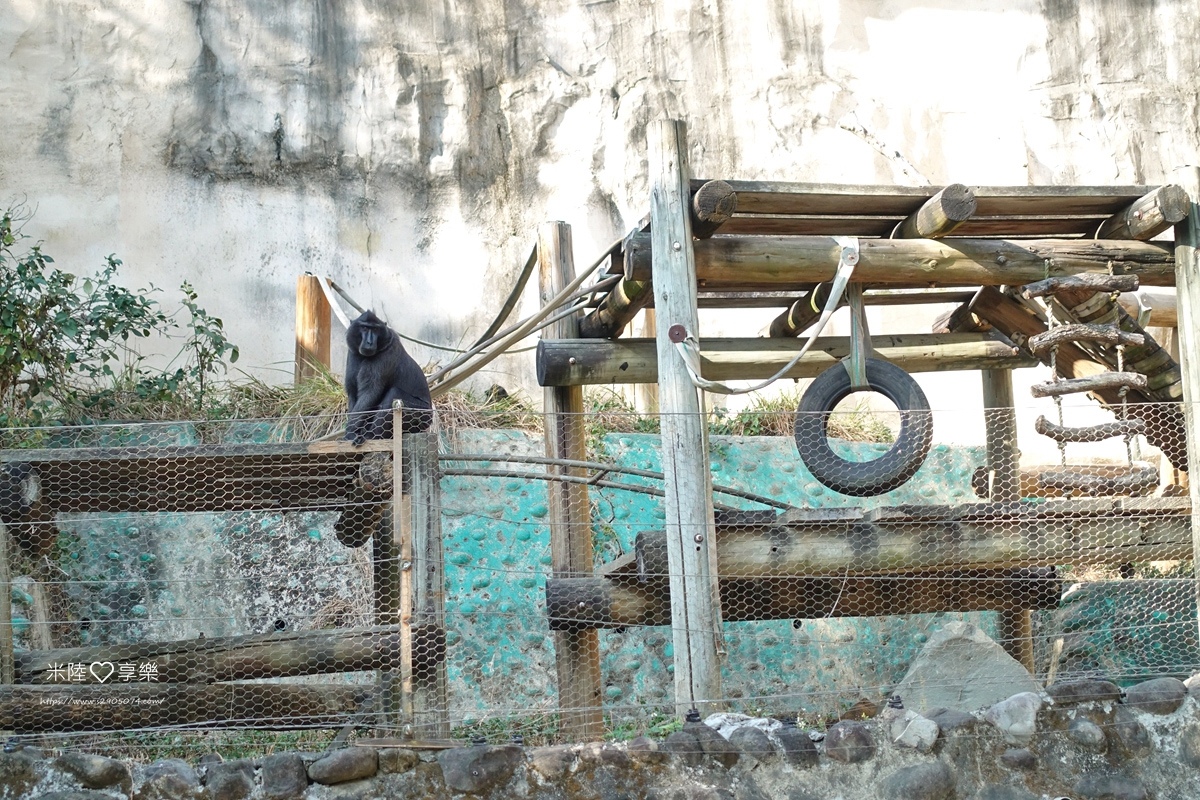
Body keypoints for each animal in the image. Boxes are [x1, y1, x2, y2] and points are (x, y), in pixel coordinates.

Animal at [345, 309, 434, 443]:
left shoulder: (386, 352)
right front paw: (352, 431)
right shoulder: (352, 353)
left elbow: (370, 393)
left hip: (420, 414)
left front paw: (350, 433)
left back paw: (372, 435)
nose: (369, 342)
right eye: (365, 328)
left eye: (375, 329)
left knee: (394, 393)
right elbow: (353, 393)